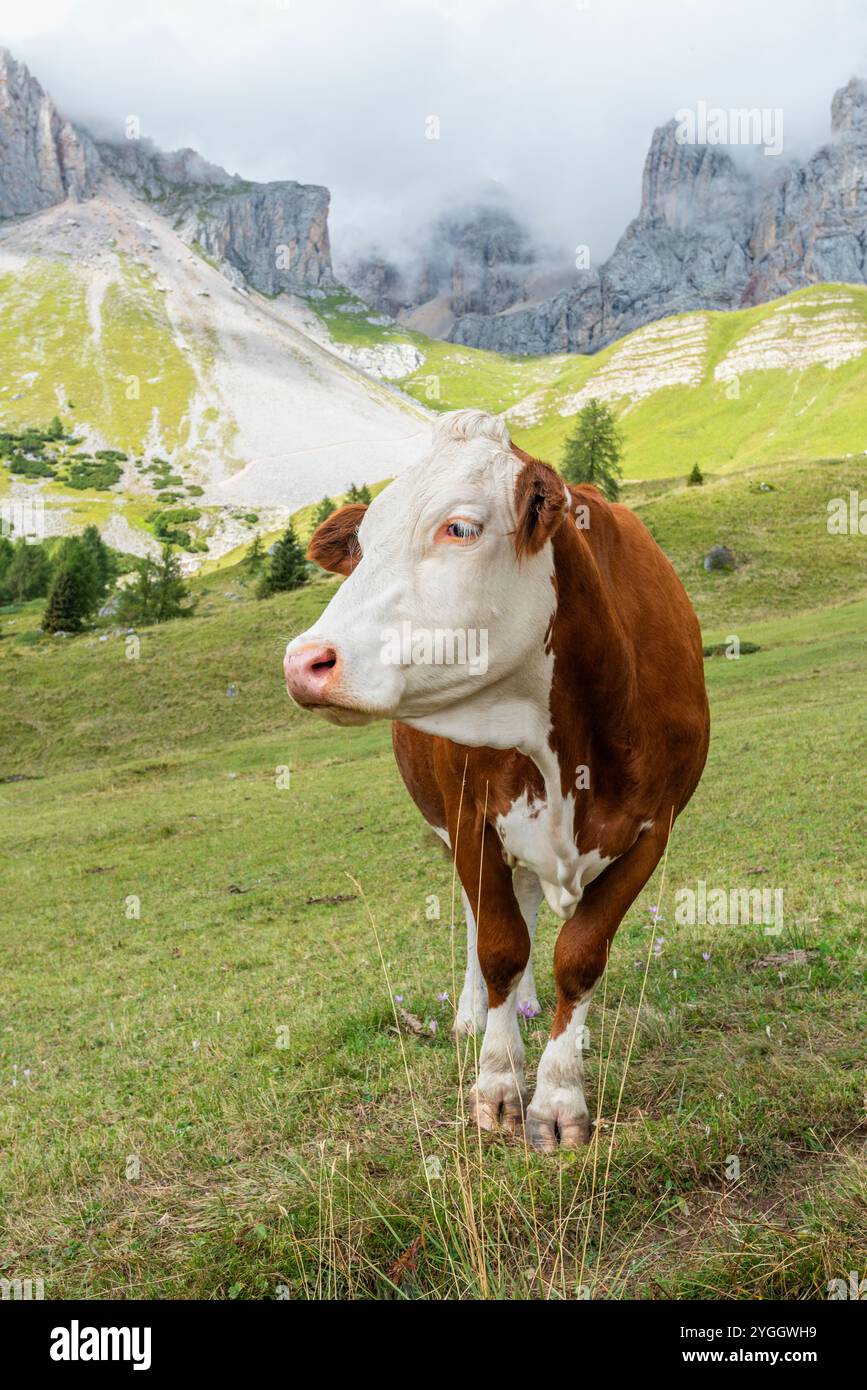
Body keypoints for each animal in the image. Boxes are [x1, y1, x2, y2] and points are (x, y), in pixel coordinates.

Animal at [284, 410, 709, 1150]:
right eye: (361, 544)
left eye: (460, 527)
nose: (304, 661)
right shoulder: (469, 819)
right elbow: (499, 946)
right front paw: (497, 1087)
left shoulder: (654, 828)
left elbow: (580, 954)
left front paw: (560, 1096)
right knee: (483, 919)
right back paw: (474, 1015)